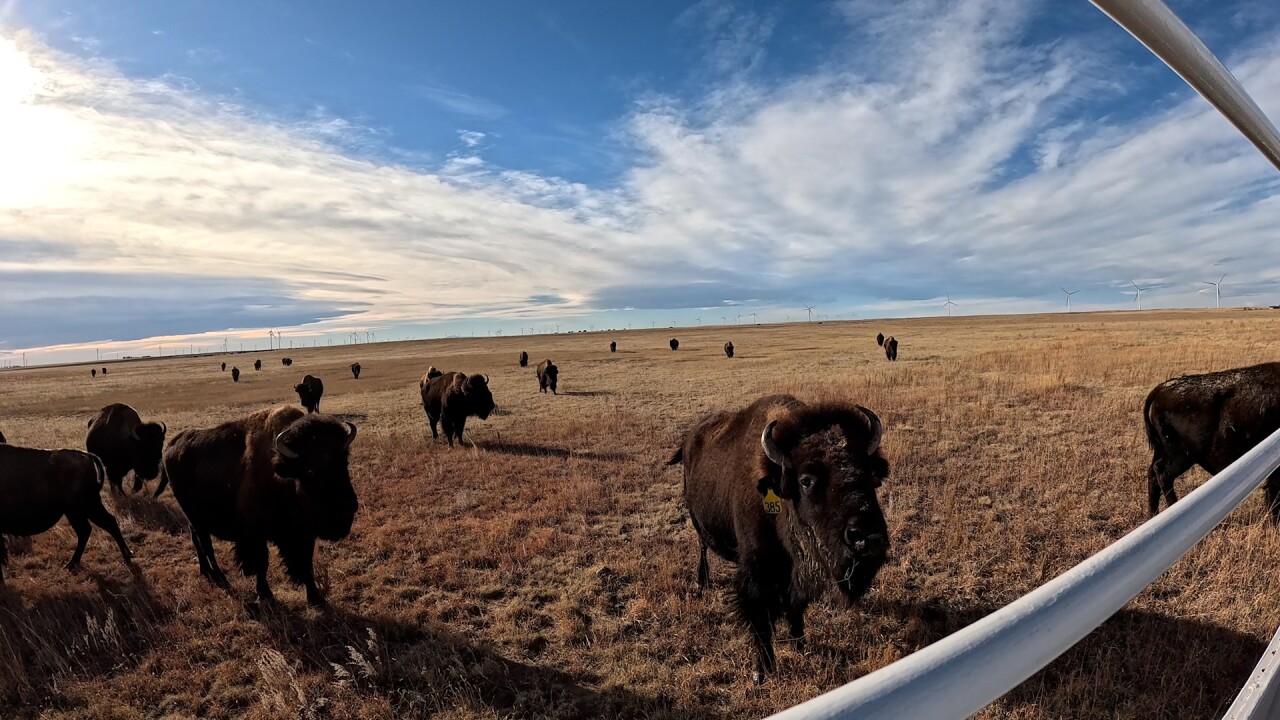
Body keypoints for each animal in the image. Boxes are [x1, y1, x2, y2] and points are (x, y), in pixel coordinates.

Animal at [0, 443, 132, 582]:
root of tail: (86, 455)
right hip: (76, 512)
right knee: (88, 529)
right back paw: (73, 563)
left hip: (86, 507)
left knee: (107, 523)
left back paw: (126, 555)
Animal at [156, 406, 358, 605]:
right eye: (309, 470)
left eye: (344, 461)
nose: (348, 508)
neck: (283, 477)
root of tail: (171, 447)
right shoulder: (256, 535)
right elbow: (261, 564)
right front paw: (265, 595)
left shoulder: (303, 534)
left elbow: (304, 563)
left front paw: (315, 598)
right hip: (196, 518)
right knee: (206, 545)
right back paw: (222, 579)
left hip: (194, 519)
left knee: (197, 540)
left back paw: (207, 572)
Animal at [668, 395, 890, 683]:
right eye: (806, 481)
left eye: (870, 474)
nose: (868, 538)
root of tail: (691, 438)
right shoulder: (757, 572)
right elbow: (761, 618)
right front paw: (761, 672)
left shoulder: (797, 573)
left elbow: (796, 607)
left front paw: (799, 645)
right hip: (696, 519)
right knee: (702, 547)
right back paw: (700, 583)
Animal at [1145, 362, 1280, 520]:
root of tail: (1162, 388)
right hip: (1182, 456)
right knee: (1162, 474)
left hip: (1164, 452)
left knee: (1153, 475)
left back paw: (1152, 515)